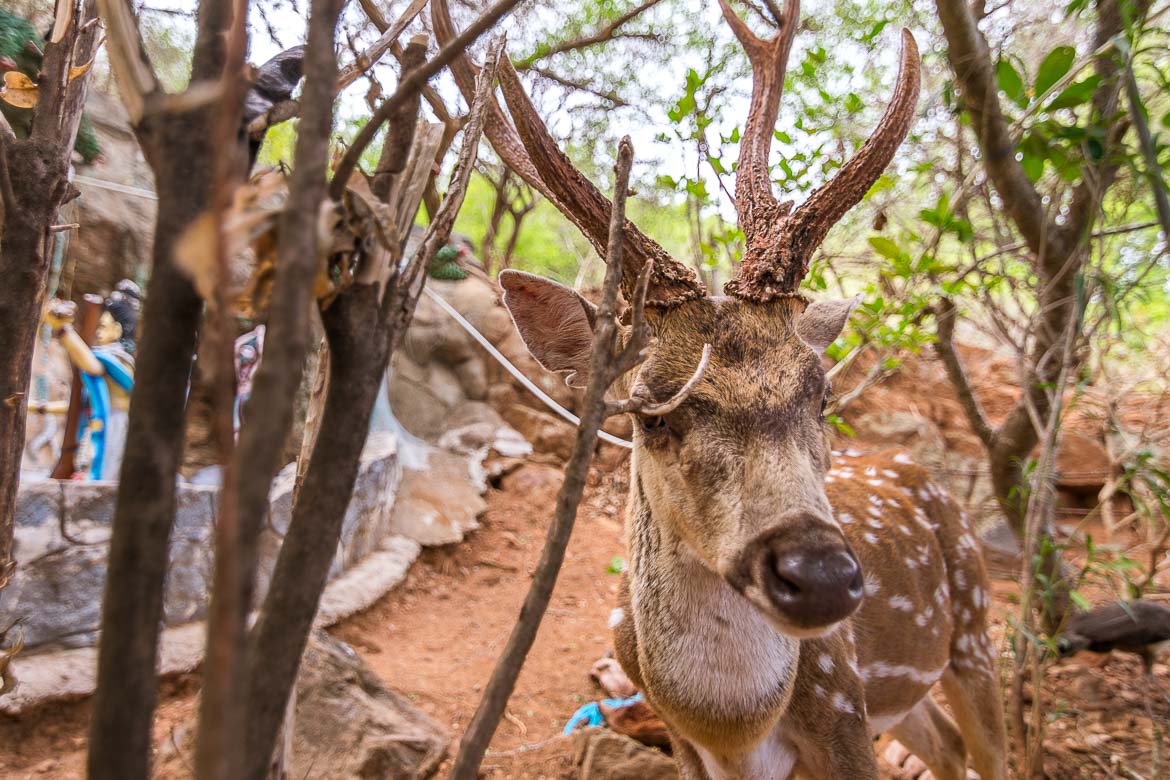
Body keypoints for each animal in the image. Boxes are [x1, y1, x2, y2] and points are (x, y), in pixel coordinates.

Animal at [435, 0, 1008, 777]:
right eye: (650, 414)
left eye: (820, 394)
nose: (820, 575)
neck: (734, 727)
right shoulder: (685, 742)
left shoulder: (843, 710)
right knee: (946, 746)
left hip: (975, 622)